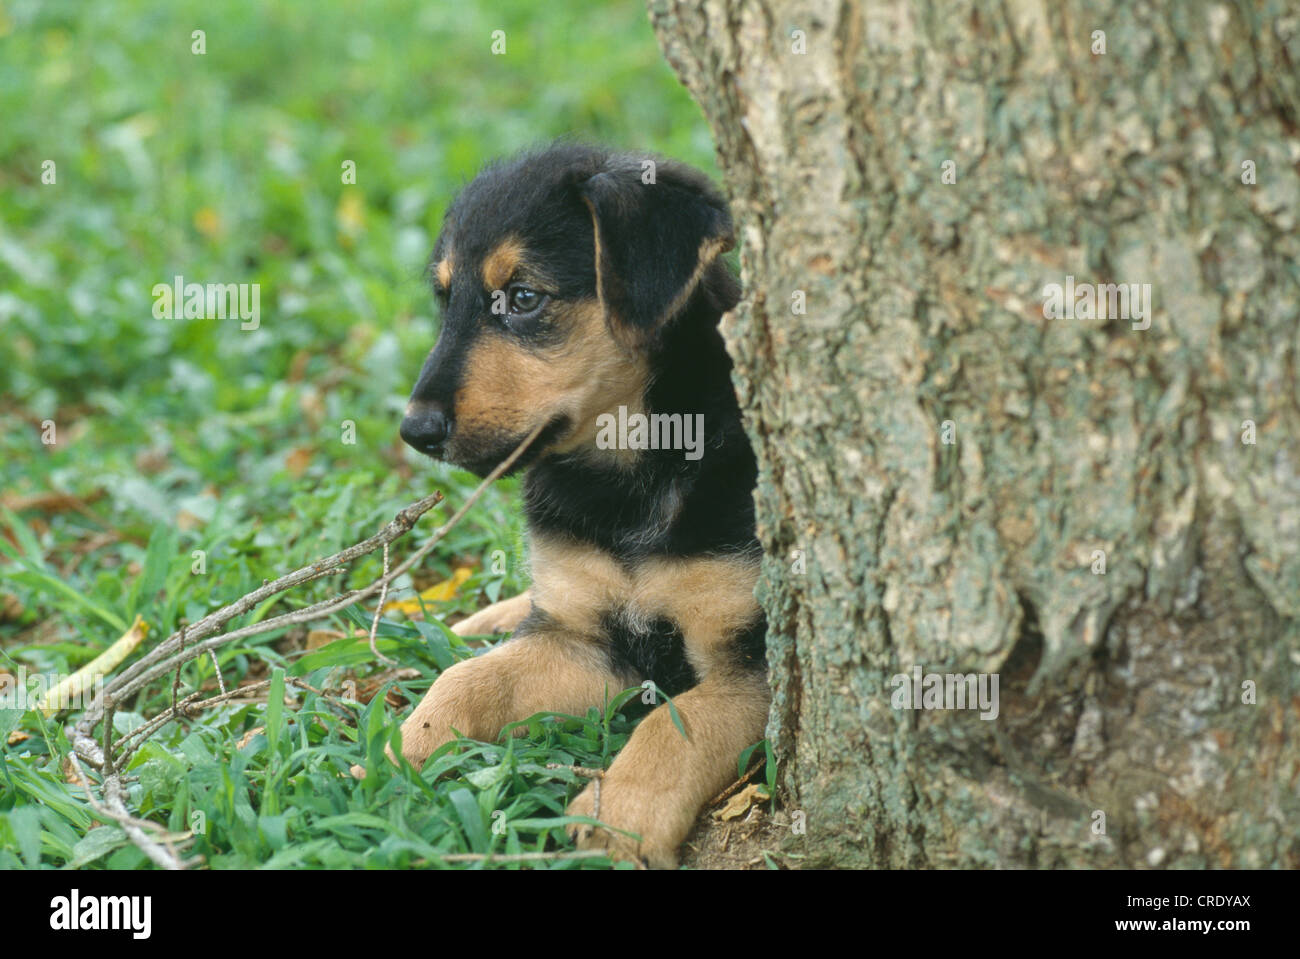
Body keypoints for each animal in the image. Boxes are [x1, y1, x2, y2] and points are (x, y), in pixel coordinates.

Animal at [390, 141, 764, 868]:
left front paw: (616, 822)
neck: (626, 476)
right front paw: (400, 750)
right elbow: (469, 681)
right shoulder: (583, 643)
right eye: (446, 301)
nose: (414, 430)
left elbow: (675, 725)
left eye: (523, 297)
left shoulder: (751, 661)